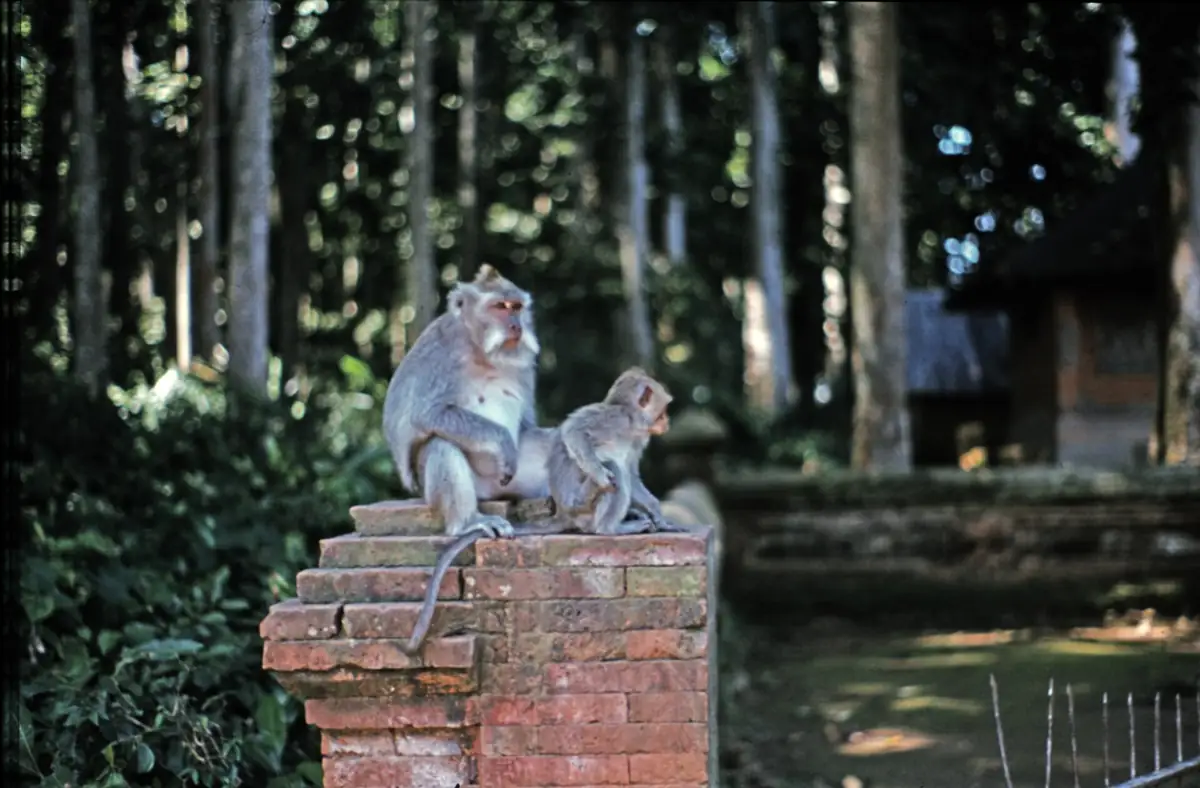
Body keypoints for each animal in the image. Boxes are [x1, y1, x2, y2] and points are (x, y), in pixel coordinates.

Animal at [382, 264, 555, 542]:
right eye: (499, 306)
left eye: (516, 307)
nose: (516, 326)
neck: (481, 351)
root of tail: (494, 492)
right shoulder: (442, 355)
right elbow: (427, 414)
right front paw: (503, 441)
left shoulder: (525, 364)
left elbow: (529, 425)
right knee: (441, 445)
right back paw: (468, 522)